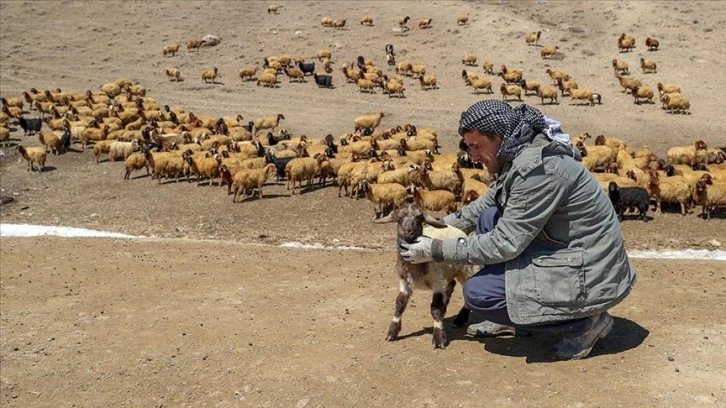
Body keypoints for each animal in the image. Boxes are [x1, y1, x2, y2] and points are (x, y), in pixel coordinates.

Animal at [376, 202, 478, 350]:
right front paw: (392, 332)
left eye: (419, 219)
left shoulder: (437, 281)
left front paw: (439, 338)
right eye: (399, 219)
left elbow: (435, 308)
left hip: (465, 270)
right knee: (450, 286)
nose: (409, 232)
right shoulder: (404, 280)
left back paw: (460, 319)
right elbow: (399, 303)